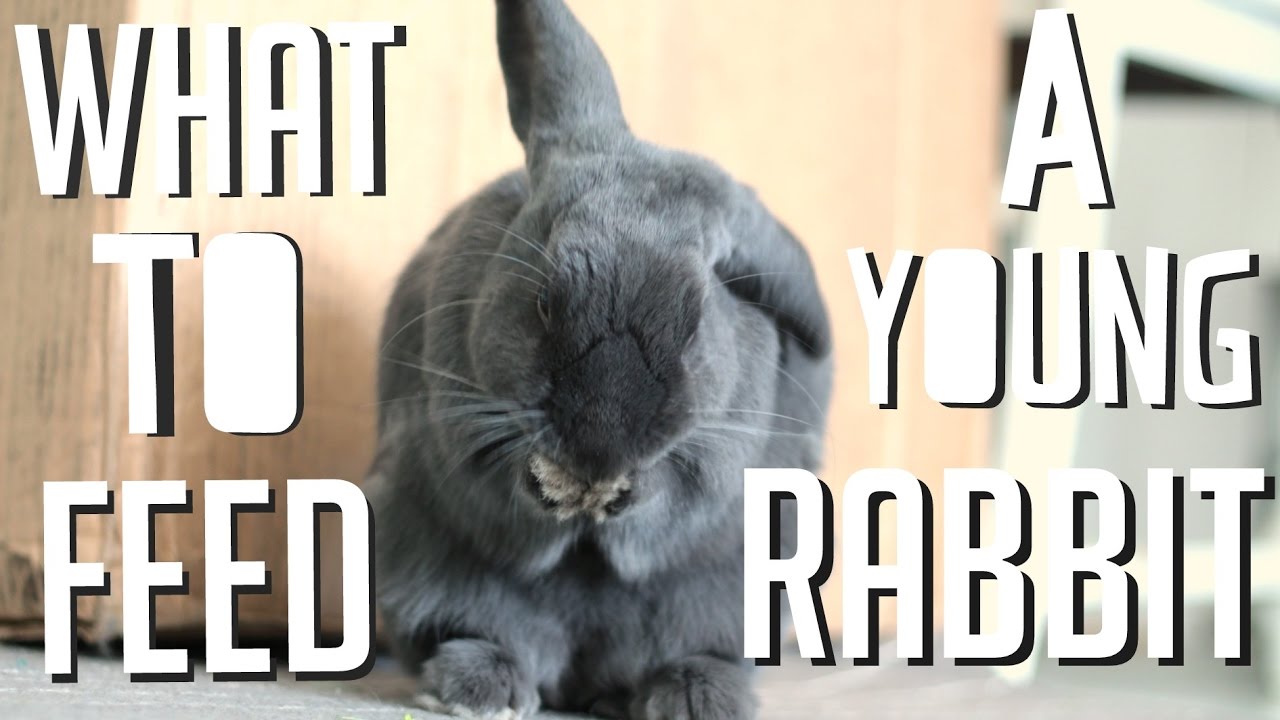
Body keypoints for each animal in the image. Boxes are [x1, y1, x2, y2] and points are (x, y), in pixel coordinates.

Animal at [366, 1, 833, 718]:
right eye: (544, 302)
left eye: (696, 323)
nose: (598, 438)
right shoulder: (460, 419)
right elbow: (495, 469)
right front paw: (556, 484)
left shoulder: (716, 458)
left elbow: (677, 489)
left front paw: (619, 488)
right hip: (428, 567)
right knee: (481, 634)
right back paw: (481, 688)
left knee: (684, 655)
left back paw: (692, 696)